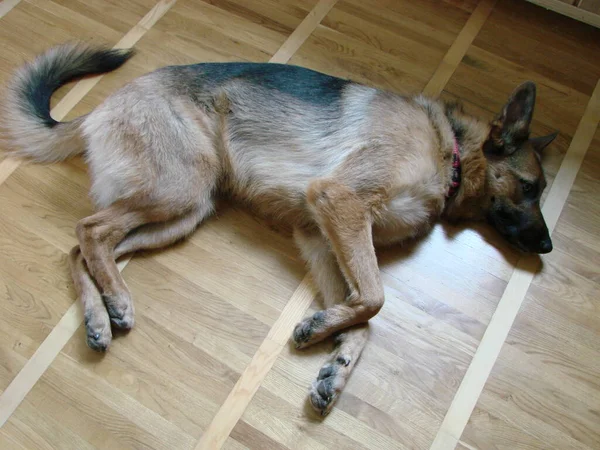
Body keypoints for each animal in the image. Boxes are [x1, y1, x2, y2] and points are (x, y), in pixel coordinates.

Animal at [2, 44, 556, 414]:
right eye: (531, 188)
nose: (548, 246)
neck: (450, 149)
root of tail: (103, 105)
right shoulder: (340, 202)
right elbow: (375, 298)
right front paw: (325, 332)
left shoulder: (322, 235)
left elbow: (363, 316)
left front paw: (336, 361)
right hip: (178, 188)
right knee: (90, 229)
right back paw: (115, 301)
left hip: (184, 212)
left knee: (81, 249)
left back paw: (99, 317)